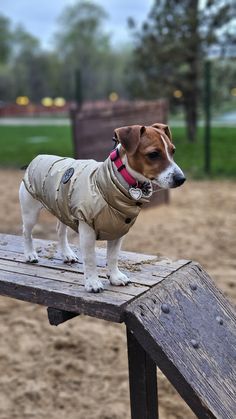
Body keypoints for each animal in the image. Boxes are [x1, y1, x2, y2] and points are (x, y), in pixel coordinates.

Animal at [19, 122, 185, 292]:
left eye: (173, 151)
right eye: (153, 154)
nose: (181, 179)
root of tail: (36, 158)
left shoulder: (118, 229)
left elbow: (113, 256)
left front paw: (115, 277)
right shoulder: (87, 230)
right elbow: (90, 258)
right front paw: (92, 282)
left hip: (62, 209)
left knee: (60, 232)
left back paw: (66, 254)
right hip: (31, 211)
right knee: (26, 232)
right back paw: (30, 254)